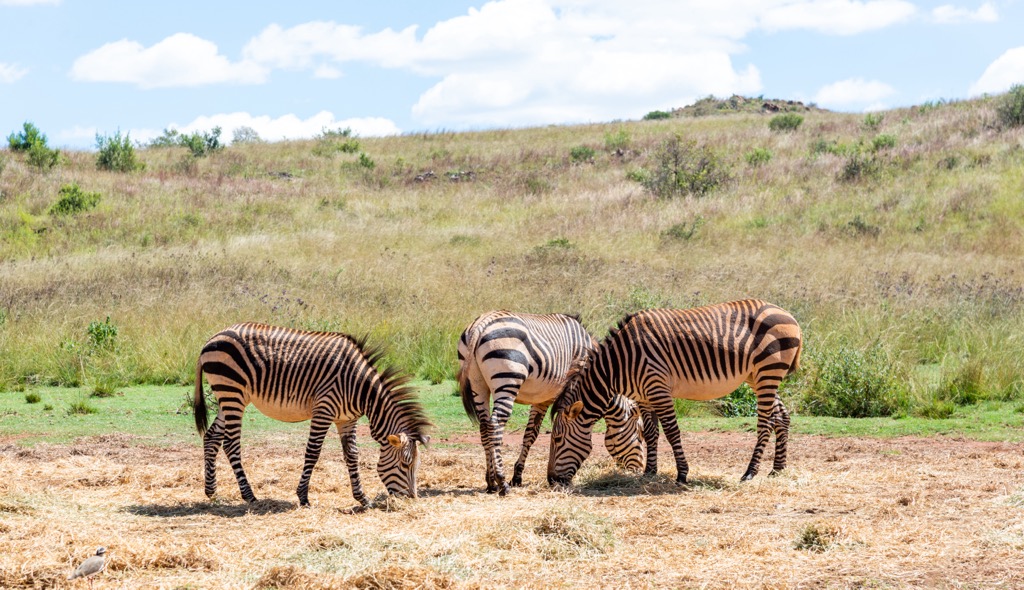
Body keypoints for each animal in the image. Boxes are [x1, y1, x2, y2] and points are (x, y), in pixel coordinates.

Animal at [192, 323, 432, 508]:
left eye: (416, 464)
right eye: (405, 464)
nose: (412, 499)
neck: (362, 389)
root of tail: (212, 337)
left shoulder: (347, 419)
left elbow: (352, 455)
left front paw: (362, 498)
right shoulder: (323, 410)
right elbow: (313, 452)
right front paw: (303, 497)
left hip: (229, 398)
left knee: (212, 437)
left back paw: (211, 492)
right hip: (232, 392)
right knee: (231, 443)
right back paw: (249, 495)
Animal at [458, 311, 651, 495]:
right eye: (640, 435)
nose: (637, 469)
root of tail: (482, 322)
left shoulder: (544, 397)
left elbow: (531, 433)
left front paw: (518, 476)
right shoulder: (555, 395)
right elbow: (533, 434)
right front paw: (516, 476)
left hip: (478, 384)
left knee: (484, 427)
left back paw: (490, 482)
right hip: (507, 379)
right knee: (496, 424)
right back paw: (502, 481)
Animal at [548, 301, 802, 485]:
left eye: (557, 438)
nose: (551, 481)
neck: (617, 365)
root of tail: (788, 314)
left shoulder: (658, 388)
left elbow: (672, 432)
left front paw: (682, 474)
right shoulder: (644, 396)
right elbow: (651, 433)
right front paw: (649, 472)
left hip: (768, 371)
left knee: (766, 422)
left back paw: (750, 472)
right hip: (757, 377)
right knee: (782, 416)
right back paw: (777, 469)